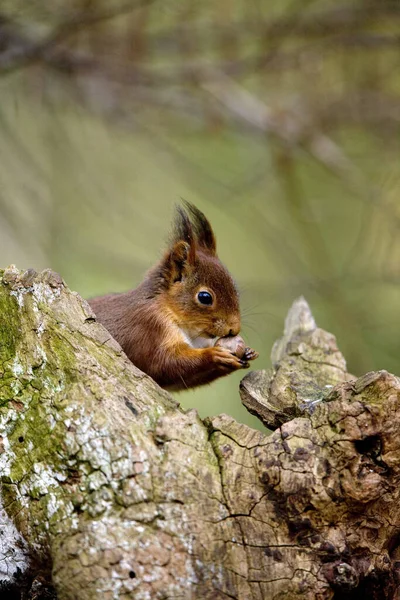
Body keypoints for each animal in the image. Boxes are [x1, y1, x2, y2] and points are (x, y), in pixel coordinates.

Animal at [88, 203, 258, 390]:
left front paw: (248, 352)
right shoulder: (149, 327)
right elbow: (162, 364)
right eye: (205, 297)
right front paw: (214, 355)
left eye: (235, 287)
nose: (234, 328)